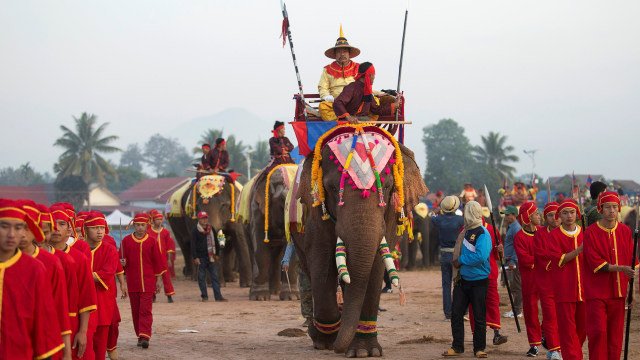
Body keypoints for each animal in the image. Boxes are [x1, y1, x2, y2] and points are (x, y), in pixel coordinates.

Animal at [239, 165, 302, 300]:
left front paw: (292, 297)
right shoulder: (256, 209)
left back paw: (275, 292)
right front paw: (259, 297)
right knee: (252, 249)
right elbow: (259, 246)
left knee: (276, 255)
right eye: (284, 200)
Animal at [292, 125, 428, 356]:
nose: (337, 349)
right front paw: (327, 341)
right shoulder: (314, 214)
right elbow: (322, 261)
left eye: (388, 186)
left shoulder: (389, 217)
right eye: (331, 188)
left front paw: (365, 352)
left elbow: (374, 266)